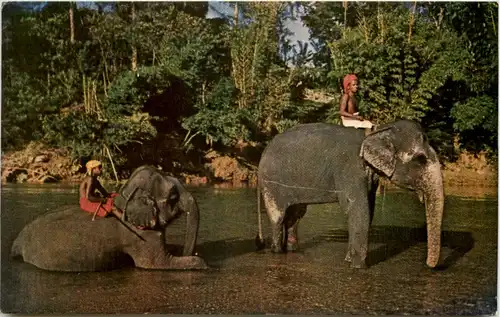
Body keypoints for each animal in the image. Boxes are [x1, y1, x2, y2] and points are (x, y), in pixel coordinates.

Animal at [11, 165, 207, 272]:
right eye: (173, 197)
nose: (190, 251)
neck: (124, 198)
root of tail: (17, 242)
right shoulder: (139, 236)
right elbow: (157, 264)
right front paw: (203, 263)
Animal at [256, 119, 444, 268]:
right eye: (420, 159)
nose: (429, 266)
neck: (375, 132)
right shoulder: (350, 170)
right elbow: (358, 209)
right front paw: (358, 267)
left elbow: (369, 209)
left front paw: (348, 260)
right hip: (271, 183)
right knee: (278, 217)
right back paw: (276, 251)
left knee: (295, 215)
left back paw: (292, 249)